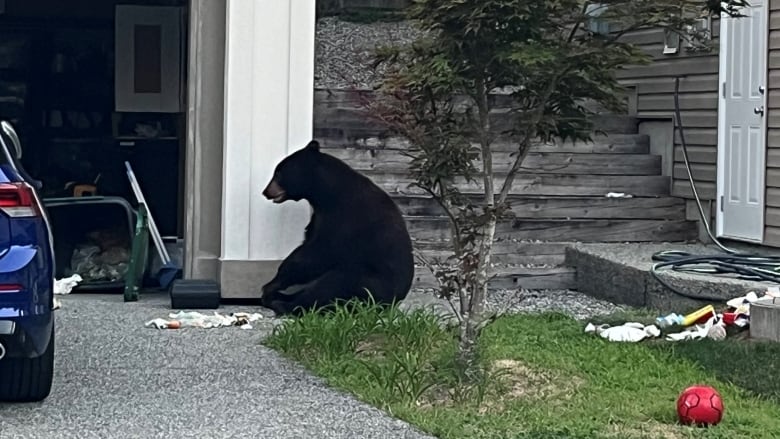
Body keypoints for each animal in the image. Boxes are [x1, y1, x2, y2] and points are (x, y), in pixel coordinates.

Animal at [258, 141, 418, 316]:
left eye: (278, 173)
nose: (265, 192)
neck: (328, 193)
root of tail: (390, 305)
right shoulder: (320, 217)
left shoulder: (345, 218)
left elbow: (320, 251)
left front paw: (273, 283)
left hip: (369, 284)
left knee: (331, 286)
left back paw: (284, 304)